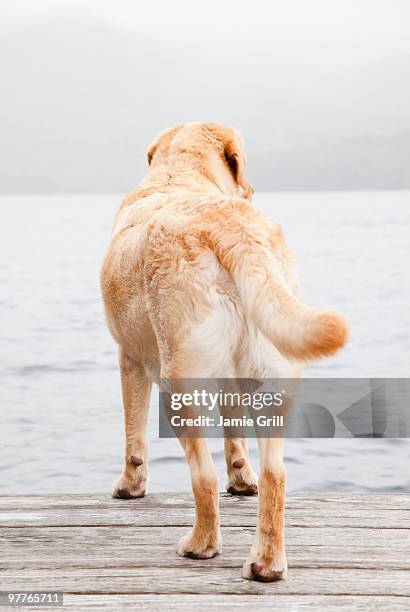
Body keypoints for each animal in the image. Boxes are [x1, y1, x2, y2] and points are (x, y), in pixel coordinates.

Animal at [101, 120, 348, 584]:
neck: (179, 175)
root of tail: (233, 227)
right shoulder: (232, 377)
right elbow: (237, 437)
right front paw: (242, 479)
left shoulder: (129, 358)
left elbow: (133, 436)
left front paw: (130, 486)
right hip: (271, 370)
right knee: (276, 473)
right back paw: (266, 561)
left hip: (180, 384)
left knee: (203, 477)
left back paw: (201, 544)